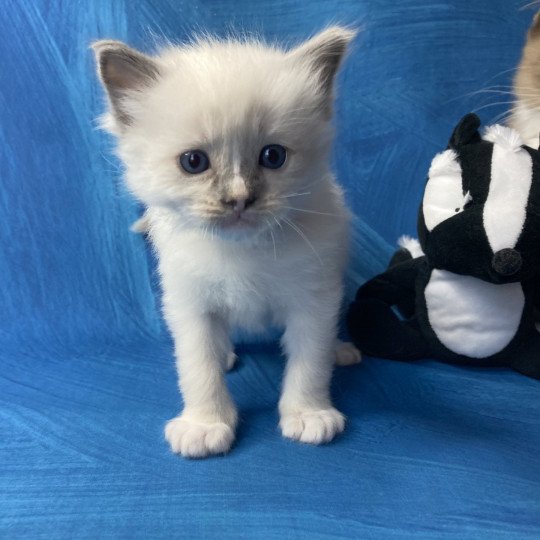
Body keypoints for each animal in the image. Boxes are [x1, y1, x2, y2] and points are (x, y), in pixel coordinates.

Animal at [93, 26, 360, 456]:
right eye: (194, 162)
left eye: (273, 156)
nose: (238, 199)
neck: (241, 251)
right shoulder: (190, 305)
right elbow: (198, 367)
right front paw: (205, 424)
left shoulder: (314, 299)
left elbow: (310, 362)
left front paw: (308, 414)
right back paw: (226, 355)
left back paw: (340, 350)